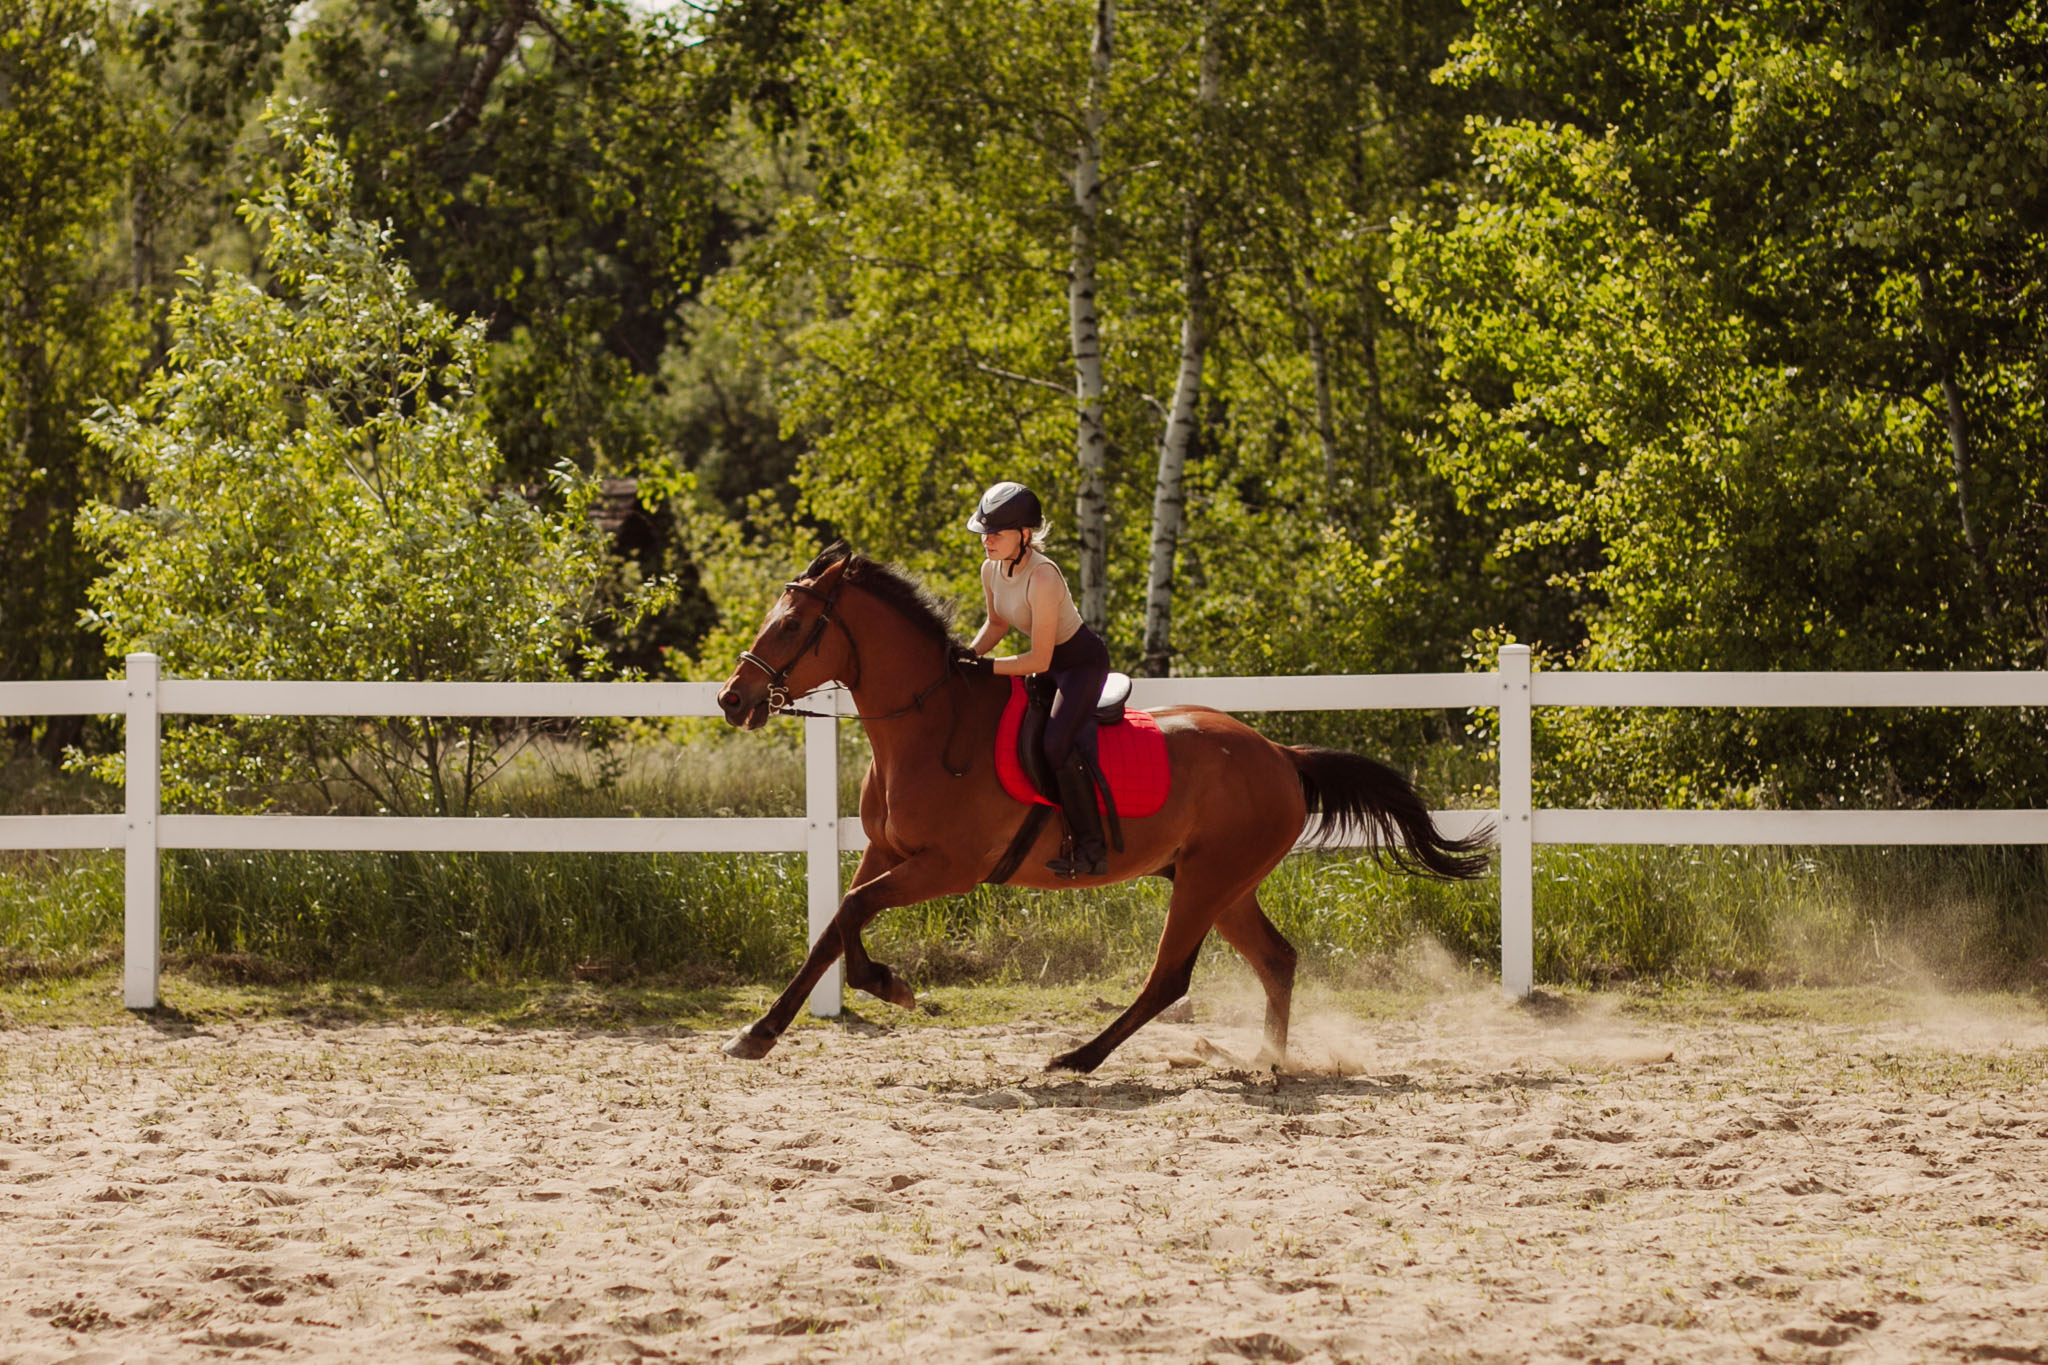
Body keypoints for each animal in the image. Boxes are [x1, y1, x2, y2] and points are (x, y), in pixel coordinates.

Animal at [720, 548, 1490, 1080]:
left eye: (792, 624)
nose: (732, 699)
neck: (928, 726)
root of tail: (1280, 751)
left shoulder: (949, 867)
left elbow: (852, 913)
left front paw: (889, 987)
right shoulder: (887, 853)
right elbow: (834, 927)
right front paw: (763, 1030)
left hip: (1207, 882)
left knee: (1171, 977)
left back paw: (1079, 1058)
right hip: (1220, 883)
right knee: (1277, 959)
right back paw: (1268, 1060)